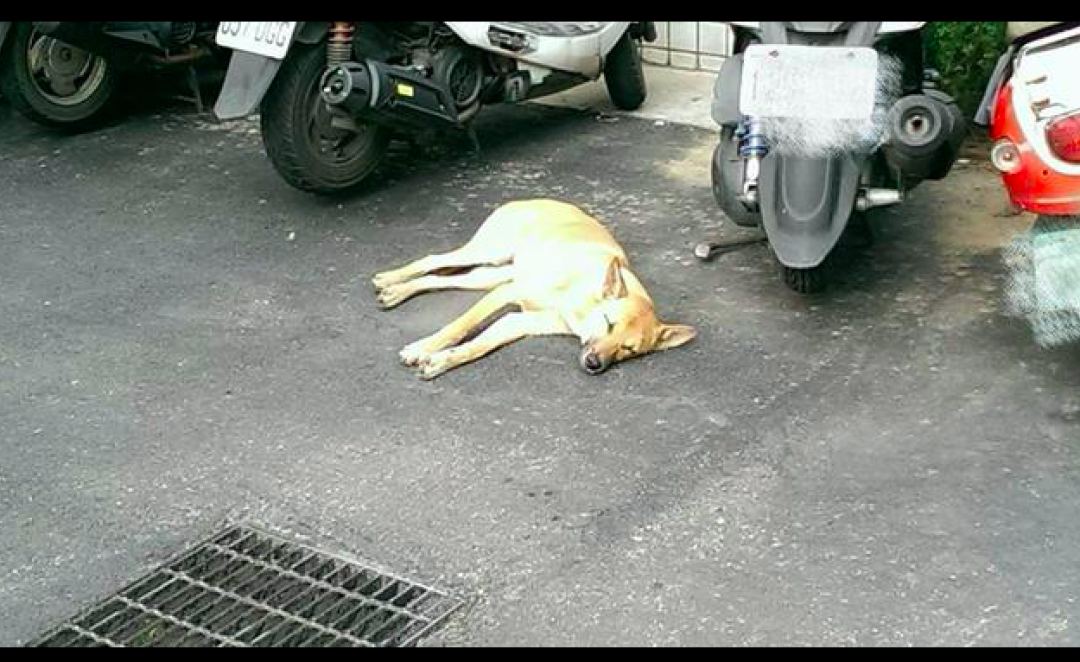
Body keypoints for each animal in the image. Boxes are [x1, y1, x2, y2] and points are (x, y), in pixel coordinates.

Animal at [375, 198, 695, 380]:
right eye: (608, 323)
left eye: (629, 350)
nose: (594, 364)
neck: (580, 294)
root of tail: (535, 198)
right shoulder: (507, 293)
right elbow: (458, 327)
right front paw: (423, 347)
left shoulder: (518, 320)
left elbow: (478, 346)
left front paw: (443, 360)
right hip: (492, 253)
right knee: (433, 260)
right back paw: (390, 279)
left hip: (493, 275)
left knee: (440, 279)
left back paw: (396, 291)